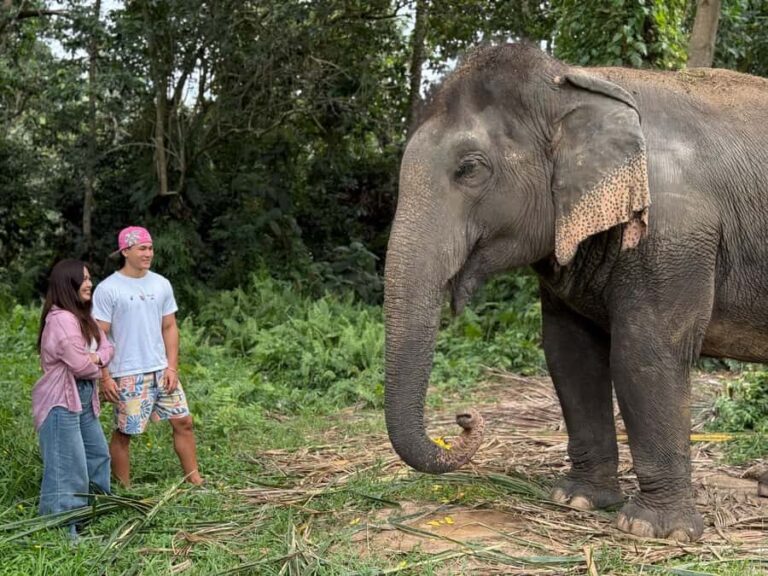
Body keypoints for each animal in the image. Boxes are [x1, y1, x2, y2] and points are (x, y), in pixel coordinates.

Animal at [384, 43, 768, 542]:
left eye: (468, 169)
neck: (572, 82)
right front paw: (577, 500)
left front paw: (653, 529)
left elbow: (645, 354)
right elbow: (570, 354)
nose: (465, 419)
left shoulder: (674, 234)